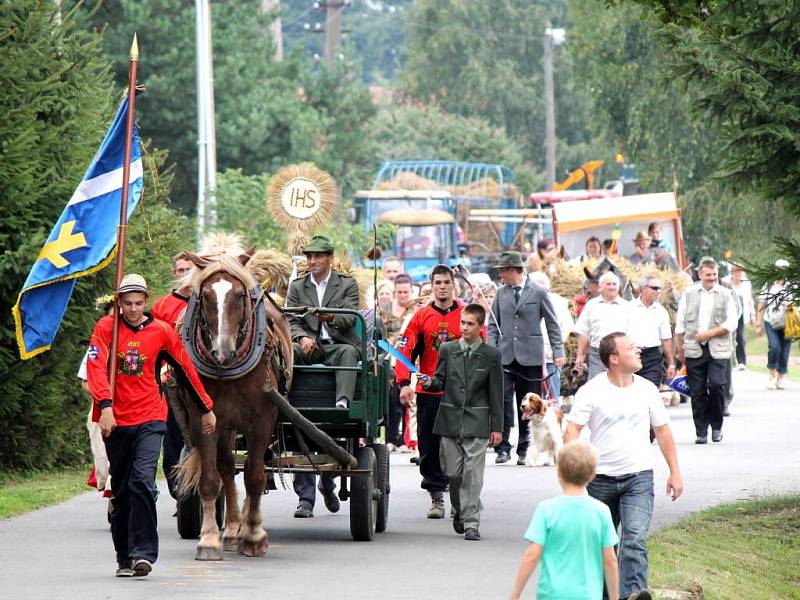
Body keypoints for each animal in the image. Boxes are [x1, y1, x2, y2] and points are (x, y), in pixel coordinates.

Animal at [177, 237, 296, 560]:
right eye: (204, 296)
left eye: (240, 295)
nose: (223, 352)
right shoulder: (204, 419)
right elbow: (211, 479)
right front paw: (209, 540)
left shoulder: (263, 420)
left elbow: (255, 477)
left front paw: (254, 535)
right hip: (226, 425)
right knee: (228, 468)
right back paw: (231, 530)